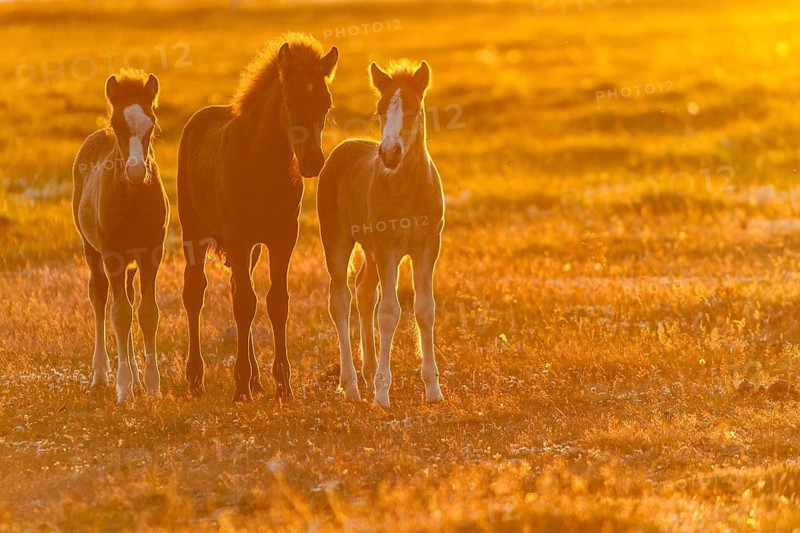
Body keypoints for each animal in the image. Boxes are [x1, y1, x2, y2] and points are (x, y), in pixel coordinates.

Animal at [72, 70, 169, 402]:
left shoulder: (152, 253)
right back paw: (101, 375)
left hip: (129, 262)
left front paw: (152, 386)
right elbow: (121, 314)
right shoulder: (112, 254)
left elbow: (147, 312)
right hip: (92, 249)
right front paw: (124, 388)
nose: (137, 171)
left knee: (125, 294)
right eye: (117, 125)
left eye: (151, 125)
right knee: (100, 297)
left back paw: (137, 377)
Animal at [177, 33, 338, 402]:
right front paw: (240, 388)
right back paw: (196, 379)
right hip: (194, 231)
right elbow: (244, 304)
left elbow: (275, 302)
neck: (262, 164)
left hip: (249, 249)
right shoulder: (237, 237)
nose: (313, 162)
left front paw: (282, 386)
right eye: (290, 102)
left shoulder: (283, 237)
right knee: (195, 292)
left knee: (238, 285)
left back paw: (255, 380)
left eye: (325, 105)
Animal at [317, 60, 445, 407]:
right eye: (379, 110)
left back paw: (367, 371)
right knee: (340, 300)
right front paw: (382, 393)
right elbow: (389, 313)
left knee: (363, 291)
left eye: (413, 109)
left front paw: (433, 390)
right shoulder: (389, 248)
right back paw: (351, 385)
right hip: (337, 240)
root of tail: (341, 149)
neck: (409, 188)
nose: (389, 154)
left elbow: (425, 310)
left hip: (371, 250)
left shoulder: (427, 247)